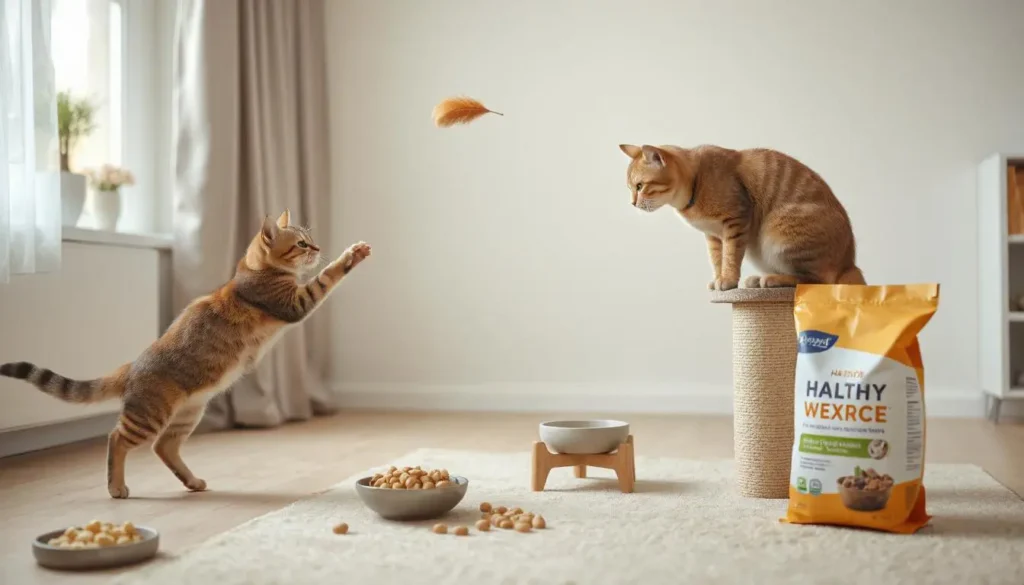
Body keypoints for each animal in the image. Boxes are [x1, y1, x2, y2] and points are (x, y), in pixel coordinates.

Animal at [0, 211, 368, 499]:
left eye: (310, 239)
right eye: (302, 244)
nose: (317, 248)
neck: (249, 271)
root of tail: (131, 366)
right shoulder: (296, 303)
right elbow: (326, 278)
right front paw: (351, 255)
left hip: (188, 413)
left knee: (163, 447)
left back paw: (191, 481)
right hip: (149, 414)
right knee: (116, 438)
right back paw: (116, 488)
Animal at [614, 142, 864, 288]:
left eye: (640, 186)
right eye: (630, 188)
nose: (632, 203)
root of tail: (849, 263)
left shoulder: (735, 220)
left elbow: (731, 256)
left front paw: (728, 281)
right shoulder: (713, 235)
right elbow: (718, 259)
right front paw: (719, 279)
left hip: (778, 231)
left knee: (815, 281)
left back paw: (772, 280)